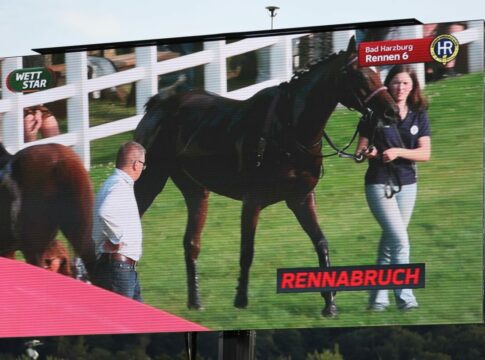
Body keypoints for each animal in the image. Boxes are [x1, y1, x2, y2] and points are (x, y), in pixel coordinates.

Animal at [131, 38, 398, 316]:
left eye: (376, 71)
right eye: (361, 75)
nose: (392, 111)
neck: (288, 130)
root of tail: (158, 104)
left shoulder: (301, 198)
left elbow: (321, 242)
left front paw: (330, 303)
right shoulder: (253, 200)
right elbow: (247, 250)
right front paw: (240, 299)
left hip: (195, 190)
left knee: (191, 242)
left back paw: (195, 302)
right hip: (148, 181)